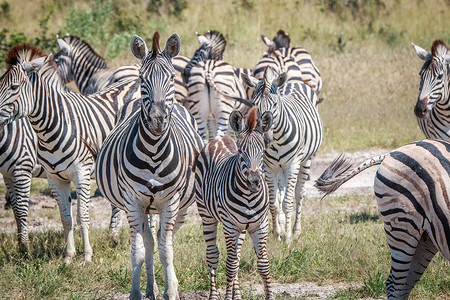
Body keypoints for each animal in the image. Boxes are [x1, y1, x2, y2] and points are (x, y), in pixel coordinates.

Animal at [0, 44, 141, 262]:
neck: (53, 126)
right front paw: (68, 256)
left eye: (14, 88)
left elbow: (81, 215)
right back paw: (114, 238)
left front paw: (86, 256)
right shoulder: (48, 177)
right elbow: (64, 217)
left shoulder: (27, 168)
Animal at [92, 31, 201, 300]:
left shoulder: (171, 202)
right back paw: (151, 288)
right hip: (144, 207)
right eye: (143, 79)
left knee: (162, 239)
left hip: (180, 207)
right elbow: (139, 251)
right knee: (150, 240)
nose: (158, 120)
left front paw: (171, 291)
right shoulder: (132, 201)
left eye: (171, 77)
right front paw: (136, 292)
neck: (153, 152)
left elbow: (166, 249)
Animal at [196, 106, 274, 300]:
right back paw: (214, 295)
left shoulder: (260, 225)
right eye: (240, 152)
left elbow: (263, 265)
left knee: (236, 257)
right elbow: (230, 266)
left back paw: (236, 295)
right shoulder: (230, 225)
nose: (254, 181)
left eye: (262, 152)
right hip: (208, 217)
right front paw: (225, 296)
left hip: (241, 228)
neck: (249, 197)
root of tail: (219, 138)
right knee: (213, 256)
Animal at [243, 67, 324, 243]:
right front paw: (276, 234)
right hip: (280, 168)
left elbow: (288, 202)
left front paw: (287, 238)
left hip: (305, 161)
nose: (265, 139)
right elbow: (273, 203)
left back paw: (296, 230)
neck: (277, 139)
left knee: (299, 193)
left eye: (274, 104)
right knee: (281, 193)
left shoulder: (292, 164)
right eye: (254, 105)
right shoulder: (268, 167)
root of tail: (294, 82)